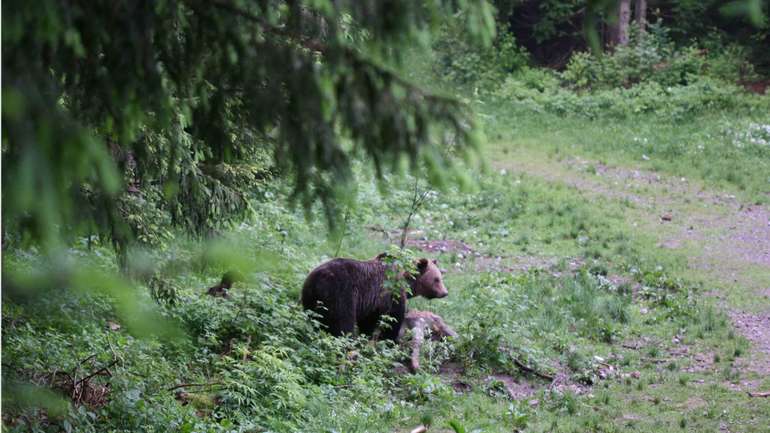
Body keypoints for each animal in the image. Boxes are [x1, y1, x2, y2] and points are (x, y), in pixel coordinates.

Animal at [298, 253, 444, 340]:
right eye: (436, 279)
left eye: (440, 277)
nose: (445, 292)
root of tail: (317, 282)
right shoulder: (390, 294)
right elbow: (393, 319)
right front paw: (391, 339)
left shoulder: (371, 302)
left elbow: (368, 321)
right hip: (340, 294)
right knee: (343, 323)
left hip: (310, 298)